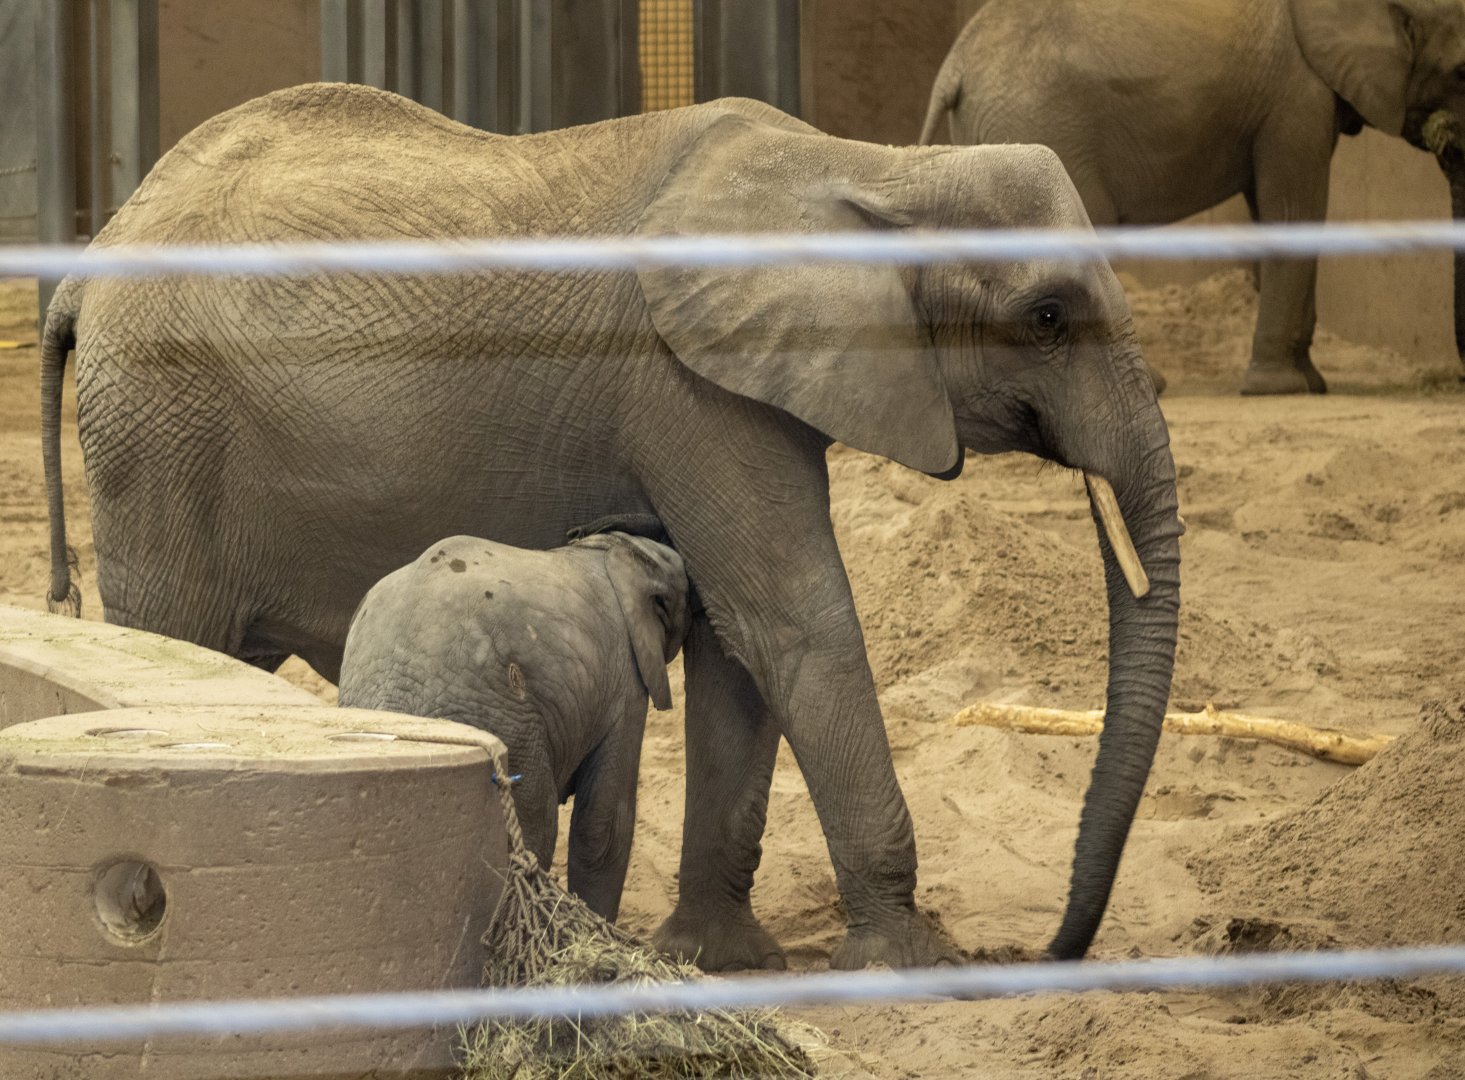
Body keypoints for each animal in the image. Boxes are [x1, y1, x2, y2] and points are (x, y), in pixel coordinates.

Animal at [921, 0, 1465, 396]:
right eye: (1462, 71)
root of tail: (953, 66)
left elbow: (1270, 209)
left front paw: (1311, 382)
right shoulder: (1296, 94)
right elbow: (1294, 210)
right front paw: (1282, 389)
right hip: (1045, 127)